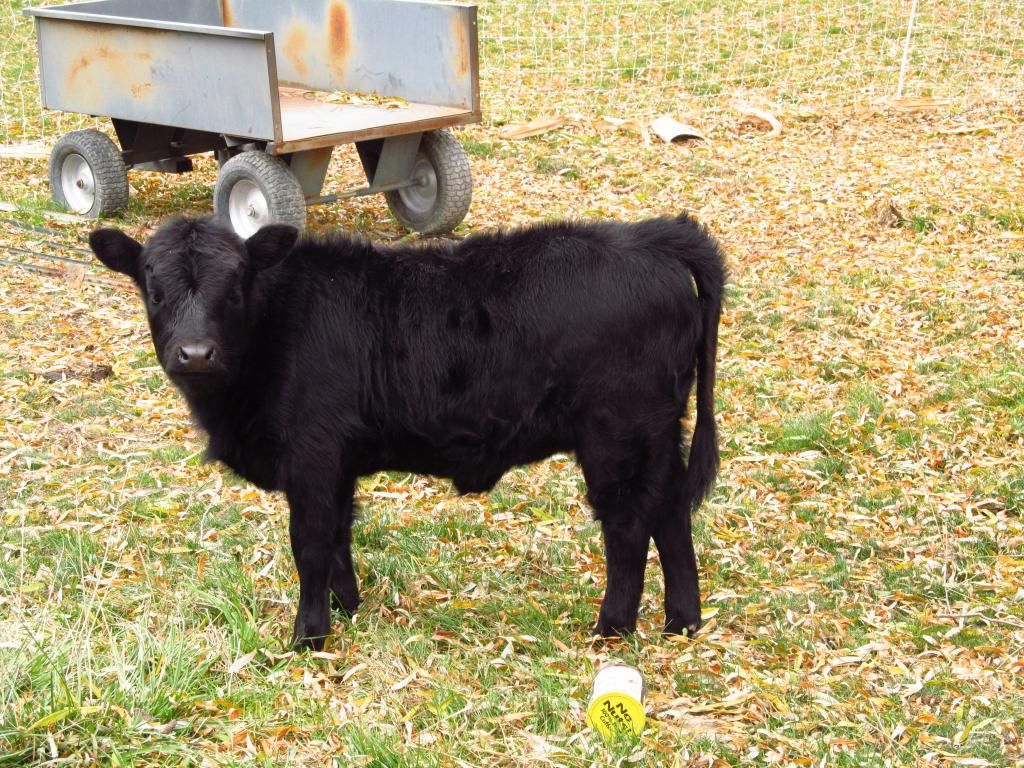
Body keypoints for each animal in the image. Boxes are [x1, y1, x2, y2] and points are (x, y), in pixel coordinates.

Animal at [89, 213, 725, 650]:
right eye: (153, 286)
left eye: (237, 283)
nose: (196, 354)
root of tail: (650, 236)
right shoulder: (337, 462)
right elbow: (339, 536)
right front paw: (347, 608)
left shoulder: (313, 455)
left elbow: (310, 543)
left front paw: (309, 636)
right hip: (661, 432)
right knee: (671, 513)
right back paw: (682, 621)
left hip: (617, 435)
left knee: (628, 526)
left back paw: (612, 628)